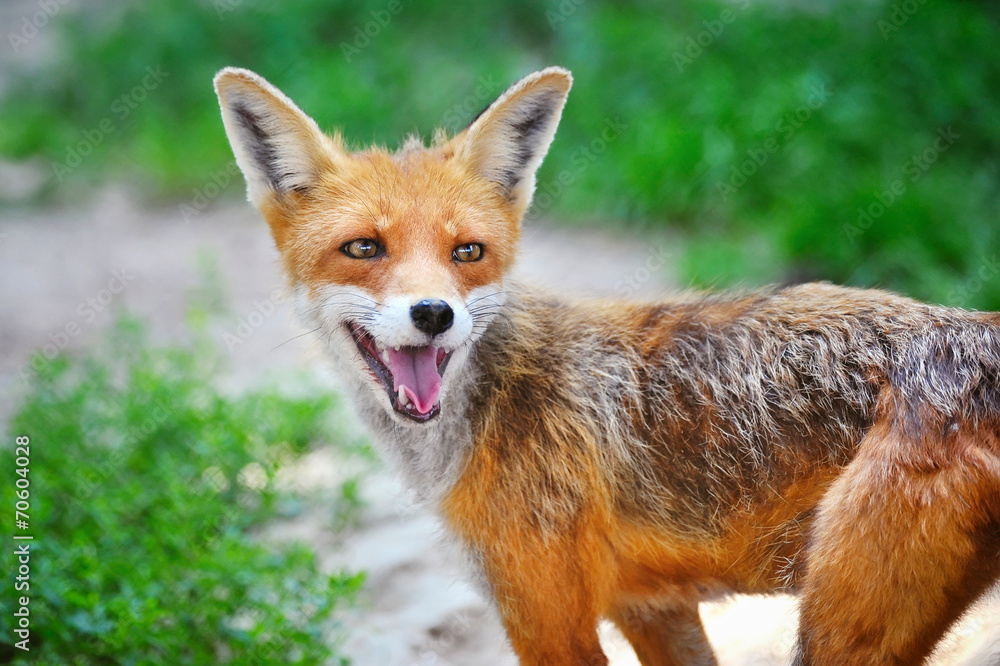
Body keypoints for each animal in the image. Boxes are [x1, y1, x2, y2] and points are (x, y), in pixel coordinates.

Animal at [213, 66, 1000, 665]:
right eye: (364, 248)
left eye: (467, 252)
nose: (434, 313)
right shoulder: (654, 610)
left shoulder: (546, 617)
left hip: (838, 627)